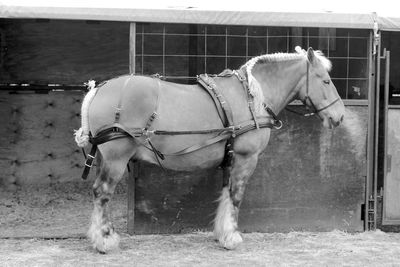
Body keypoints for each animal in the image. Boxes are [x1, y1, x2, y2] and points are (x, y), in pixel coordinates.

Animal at [74, 47, 344, 254]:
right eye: (325, 80)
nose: (339, 116)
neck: (252, 98)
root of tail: (100, 88)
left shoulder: (230, 159)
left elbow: (225, 194)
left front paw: (221, 233)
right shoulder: (246, 159)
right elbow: (236, 195)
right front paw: (232, 237)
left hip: (104, 158)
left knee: (98, 193)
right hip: (116, 158)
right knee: (103, 193)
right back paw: (105, 240)